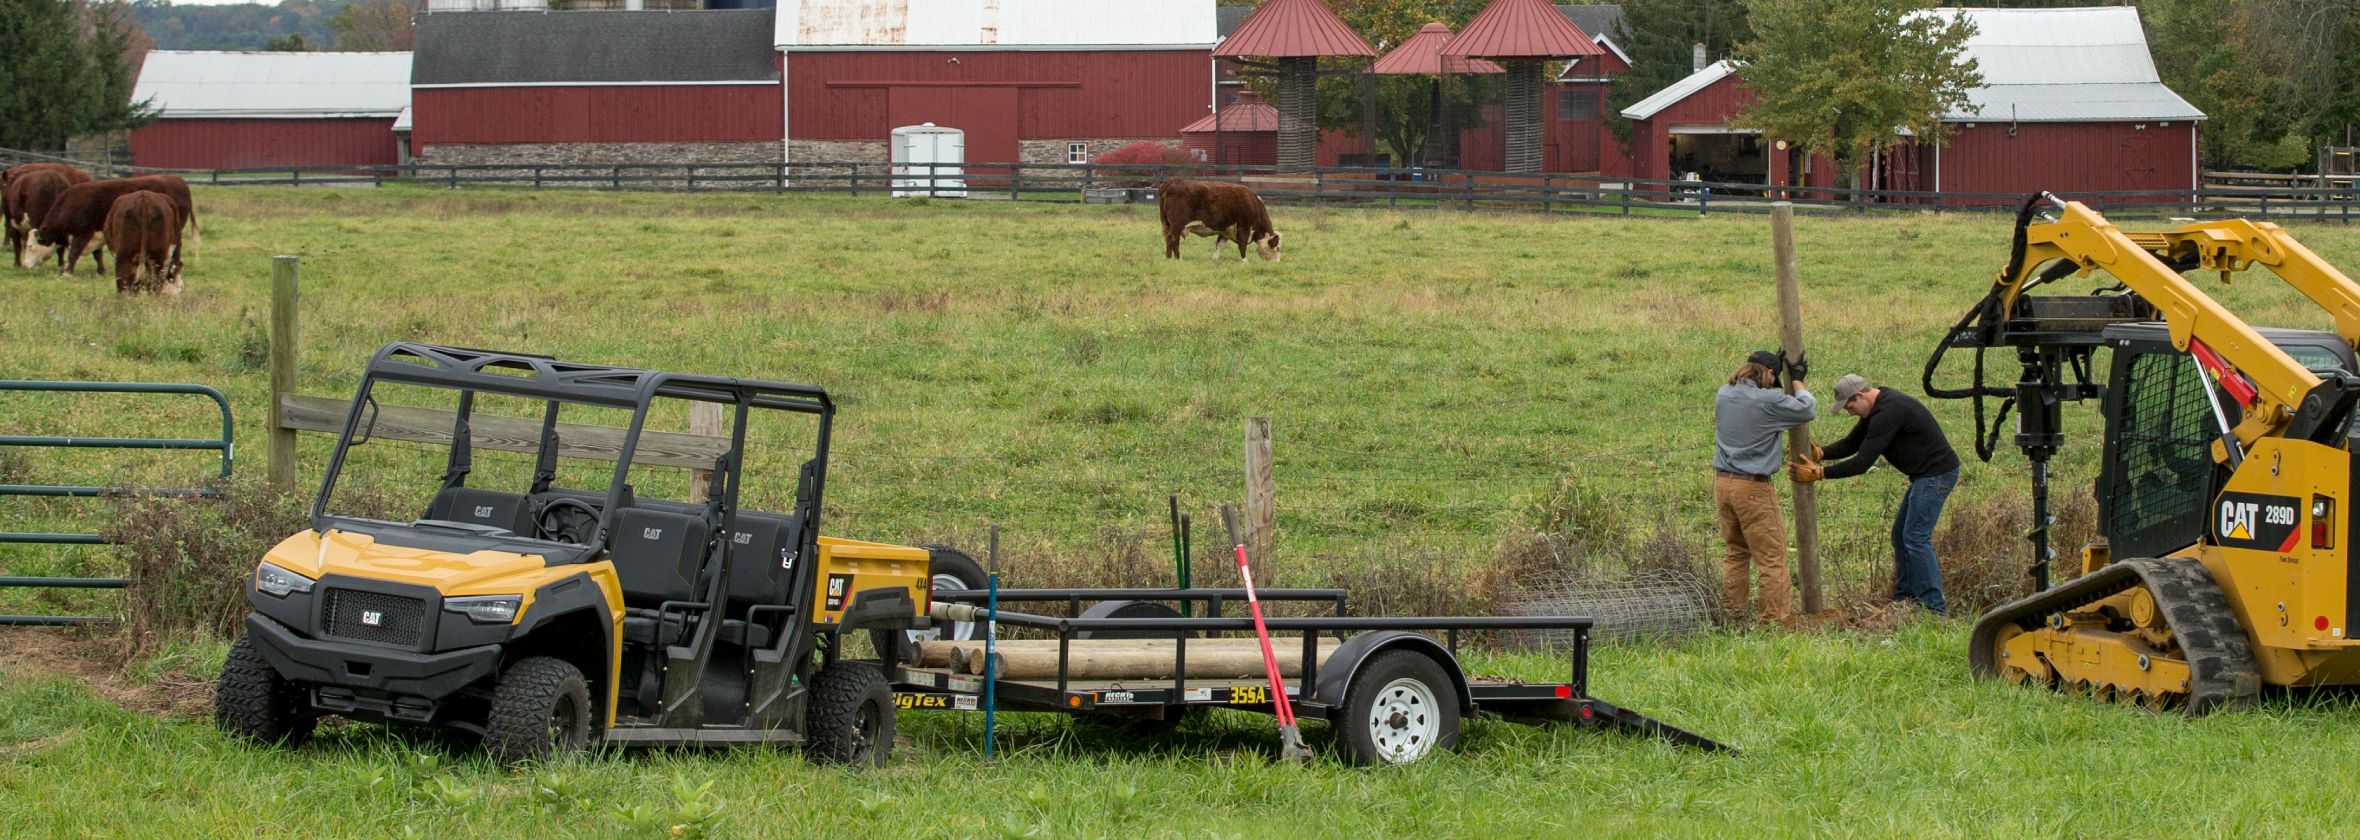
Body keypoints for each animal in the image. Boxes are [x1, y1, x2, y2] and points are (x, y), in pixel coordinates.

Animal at [25, 174, 201, 276]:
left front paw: (68, 272)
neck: (70, 204)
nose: (25, 265)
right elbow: (97, 255)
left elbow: (73, 253)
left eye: (30, 246)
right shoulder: (95, 235)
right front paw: (101, 271)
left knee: (177, 247)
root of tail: (178, 180)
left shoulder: (83, 233)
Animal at [1151, 180, 1283, 261]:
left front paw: (1214, 259)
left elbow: (1220, 245)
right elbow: (1242, 245)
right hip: (1177, 224)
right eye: (1278, 248)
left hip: (1168, 224)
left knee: (1171, 240)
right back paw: (1175, 258)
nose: (1276, 263)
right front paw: (1245, 261)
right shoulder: (1243, 227)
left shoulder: (1225, 231)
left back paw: (1171, 258)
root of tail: (1174, 181)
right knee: (1172, 239)